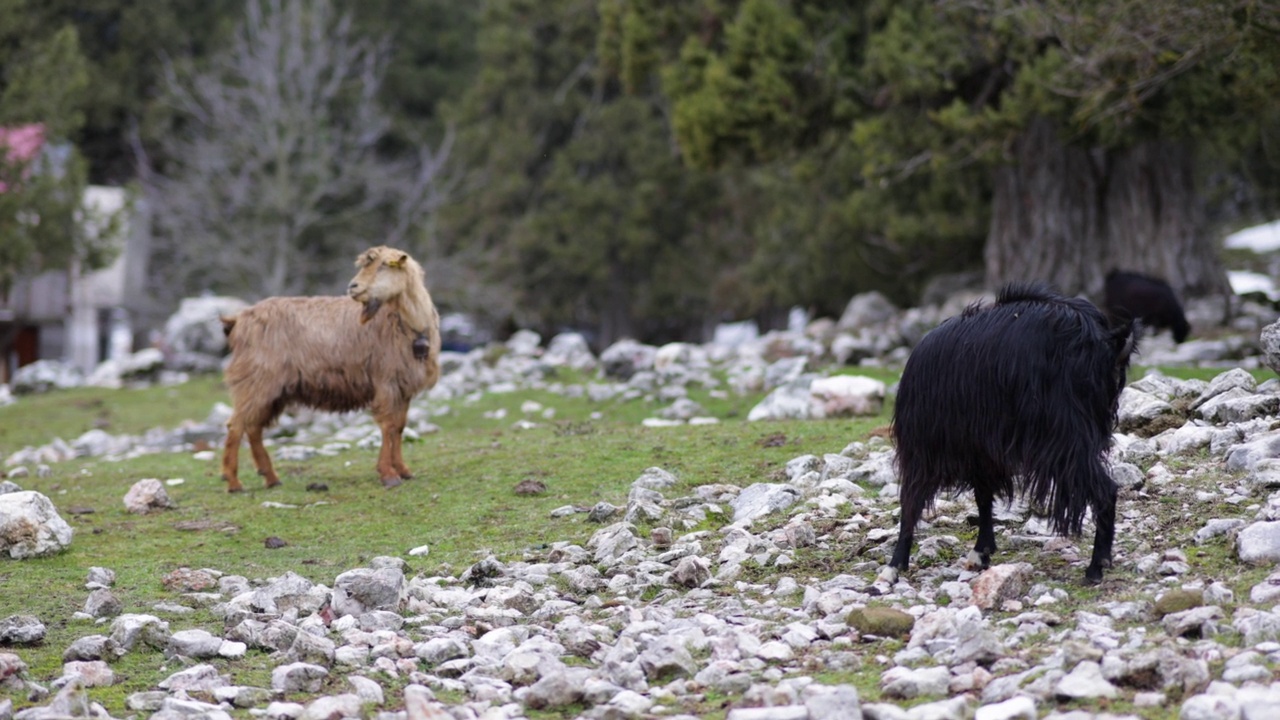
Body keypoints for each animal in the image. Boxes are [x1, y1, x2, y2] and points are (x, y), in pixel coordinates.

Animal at [220, 244, 440, 486]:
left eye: (384, 265)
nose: (353, 287)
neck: (408, 325)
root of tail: (239, 320)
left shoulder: (403, 387)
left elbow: (399, 427)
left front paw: (403, 470)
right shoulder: (386, 381)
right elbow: (388, 426)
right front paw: (388, 474)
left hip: (270, 390)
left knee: (253, 426)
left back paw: (270, 478)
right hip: (256, 381)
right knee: (236, 424)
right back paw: (233, 482)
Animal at [885, 281, 1136, 584]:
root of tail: (1103, 342)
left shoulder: (924, 446)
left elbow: (911, 501)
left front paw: (895, 564)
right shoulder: (980, 448)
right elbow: (983, 496)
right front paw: (982, 551)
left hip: (1062, 436)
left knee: (1104, 490)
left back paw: (1095, 567)